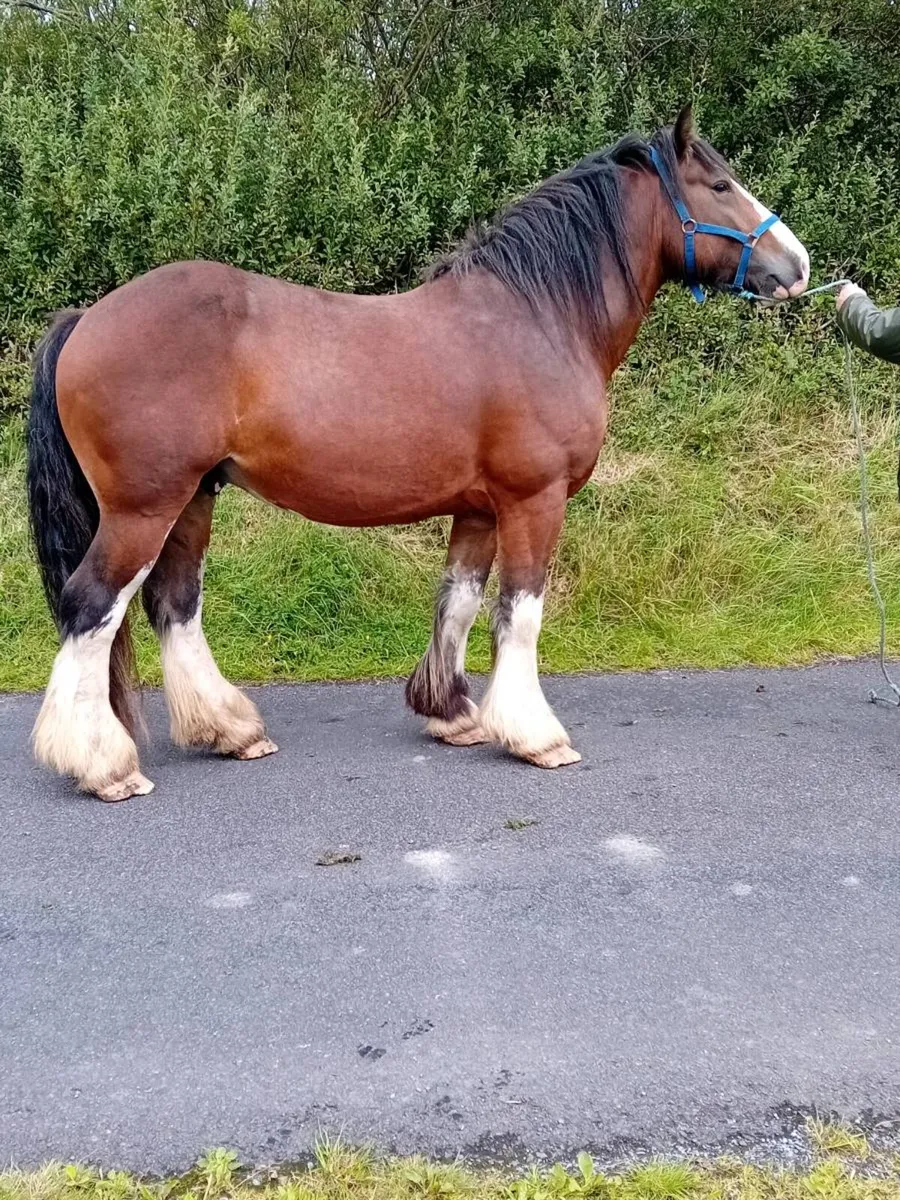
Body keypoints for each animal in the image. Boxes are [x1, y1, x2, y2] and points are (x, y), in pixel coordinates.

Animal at [26, 105, 809, 801]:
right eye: (719, 186)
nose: (796, 266)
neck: (539, 318)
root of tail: (87, 319)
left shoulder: (480, 509)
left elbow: (458, 602)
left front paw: (452, 713)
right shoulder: (534, 500)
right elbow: (520, 613)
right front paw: (535, 736)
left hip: (192, 498)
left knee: (175, 602)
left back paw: (230, 730)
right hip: (142, 507)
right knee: (92, 606)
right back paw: (103, 766)